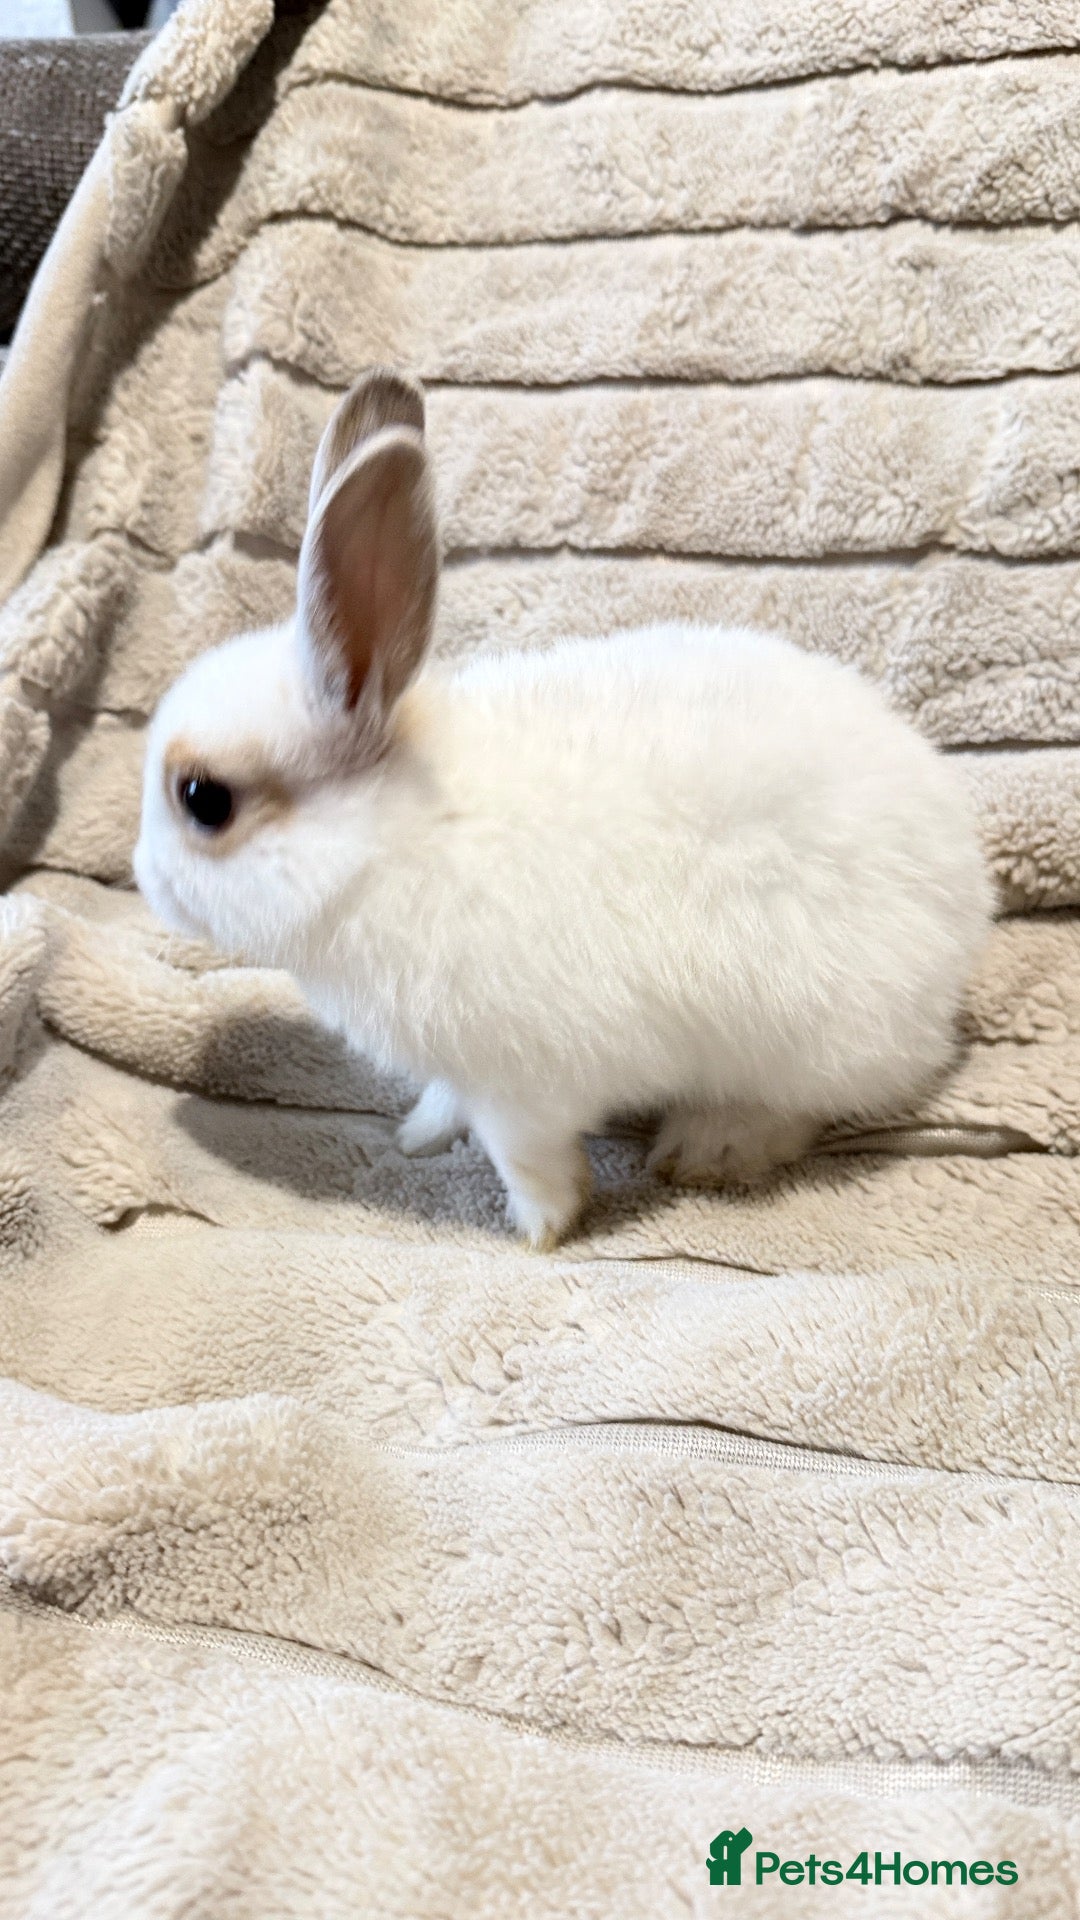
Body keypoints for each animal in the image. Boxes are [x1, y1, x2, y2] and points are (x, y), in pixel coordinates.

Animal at [134, 368, 993, 1249]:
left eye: (203, 800)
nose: (144, 877)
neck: (389, 836)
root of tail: (967, 896)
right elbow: (451, 1102)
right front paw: (420, 1134)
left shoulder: (521, 1080)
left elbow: (527, 1155)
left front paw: (543, 1229)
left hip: (809, 1033)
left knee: (803, 1106)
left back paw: (709, 1148)